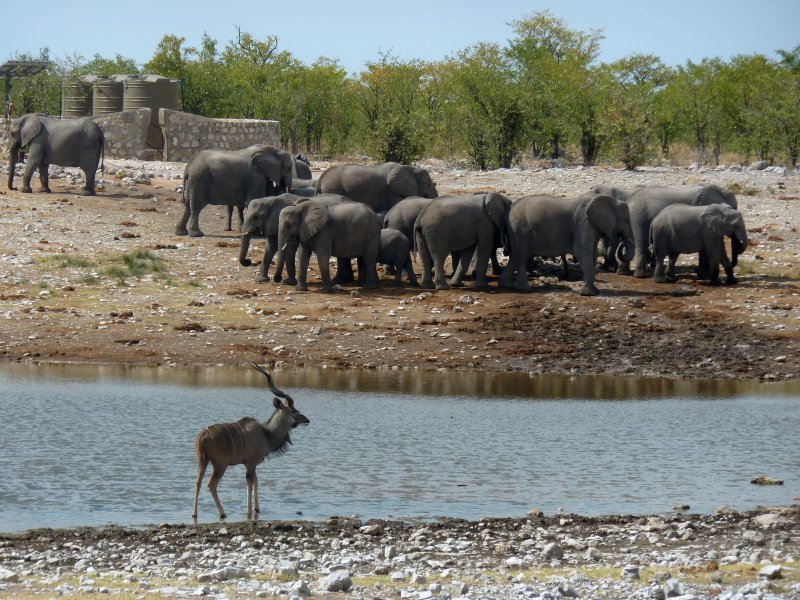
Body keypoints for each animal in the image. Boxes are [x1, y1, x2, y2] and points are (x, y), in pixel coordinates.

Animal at [496, 195, 636, 296]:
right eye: (626, 220)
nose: (622, 239)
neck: (610, 200)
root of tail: (509, 209)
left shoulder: (591, 226)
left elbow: (593, 254)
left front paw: (594, 292)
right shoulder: (583, 224)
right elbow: (583, 253)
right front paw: (588, 294)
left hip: (516, 231)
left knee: (514, 256)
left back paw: (506, 285)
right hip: (519, 228)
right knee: (521, 256)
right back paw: (525, 289)